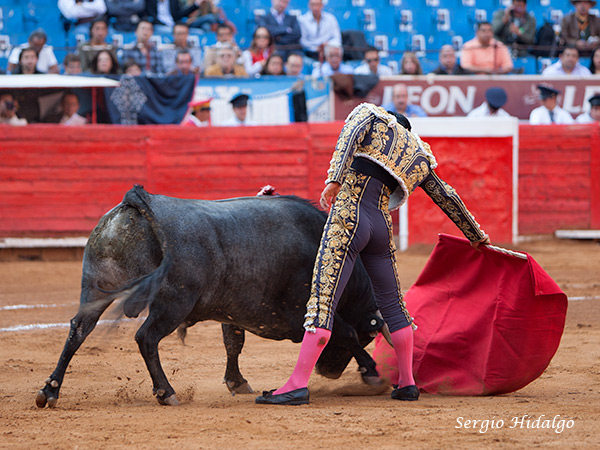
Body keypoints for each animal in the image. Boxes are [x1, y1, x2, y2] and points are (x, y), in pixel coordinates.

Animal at [37, 186, 386, 408]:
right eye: (370, 336)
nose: (329, 371)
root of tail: (140, 200)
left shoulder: (234, 313)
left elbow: (233, 343)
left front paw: (237, 382)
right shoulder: (302, 310)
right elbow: (345, 331)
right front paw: (372, 373)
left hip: (95, 289)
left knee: (79, 329)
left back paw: (50, 391)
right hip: (173, 304)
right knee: (146, 338)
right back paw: (166, 392)